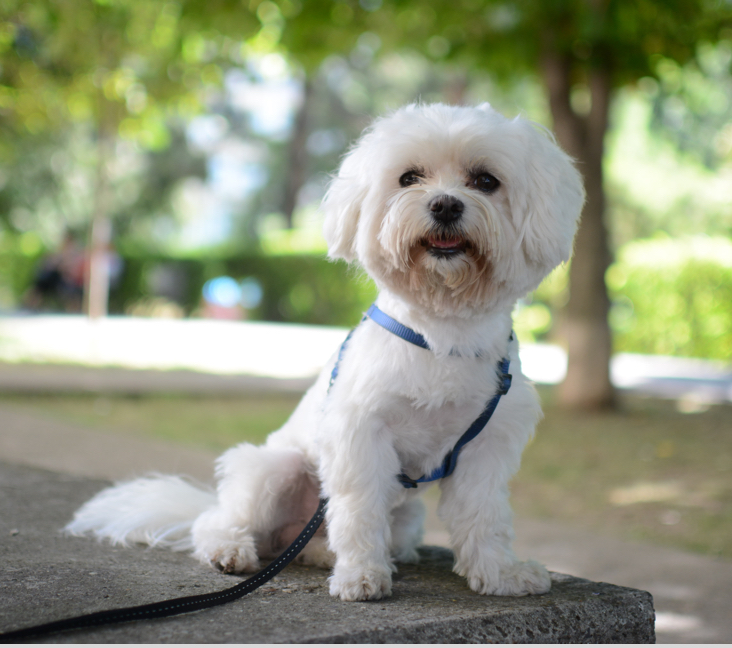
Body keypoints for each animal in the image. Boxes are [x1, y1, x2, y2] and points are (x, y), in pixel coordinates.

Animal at [67, 102, 584, 604]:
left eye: (485, 181)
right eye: (409, 178)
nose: (444, 204)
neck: (442, 334)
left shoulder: (487, 444)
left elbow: (484, 515)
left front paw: (499, 573)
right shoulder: (361, 434)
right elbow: (358, 509)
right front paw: (361, 576)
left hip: (404, 517)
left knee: (328, 539)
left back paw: (324, 553)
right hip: (275, 469)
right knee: (219, 522)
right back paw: (231, 549)